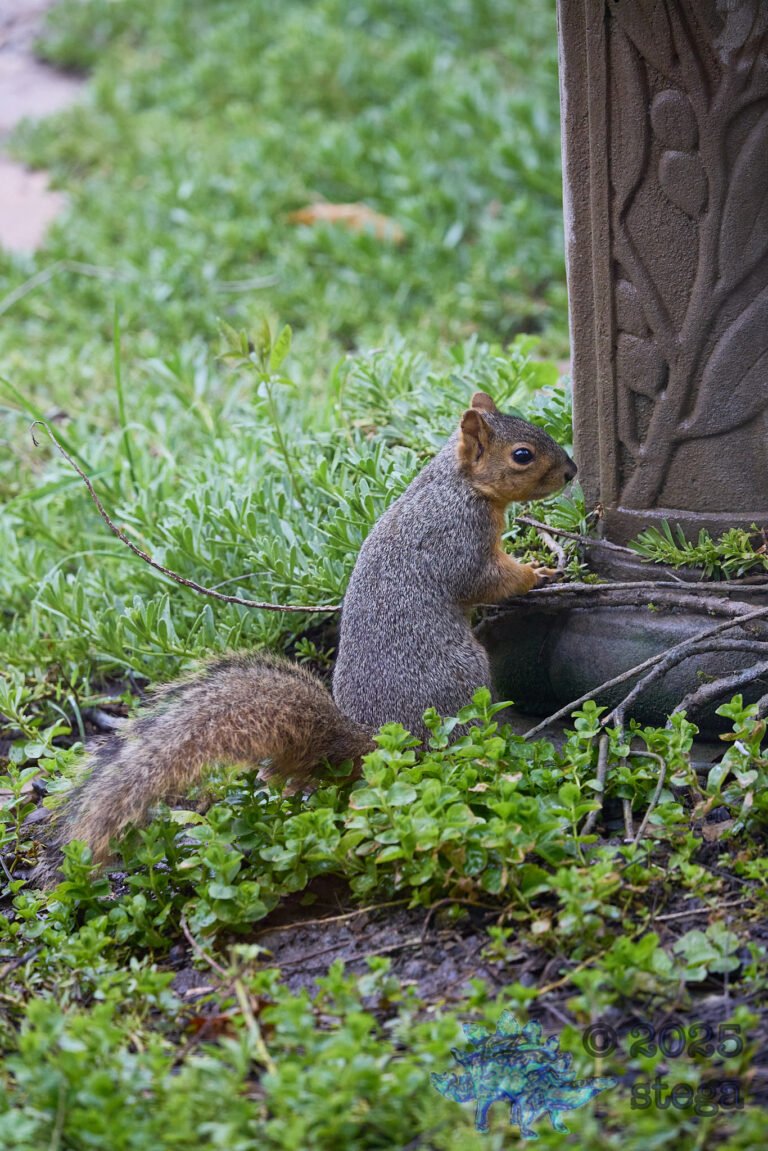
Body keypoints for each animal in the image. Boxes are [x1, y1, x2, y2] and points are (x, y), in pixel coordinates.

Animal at [33, 392, 576, 885]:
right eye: (522, 455)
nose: (570, 472)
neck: (457, 486)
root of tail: (379, 743)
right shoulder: (458, 541)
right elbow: (488, 580)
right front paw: (539, 571)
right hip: (464, 680)